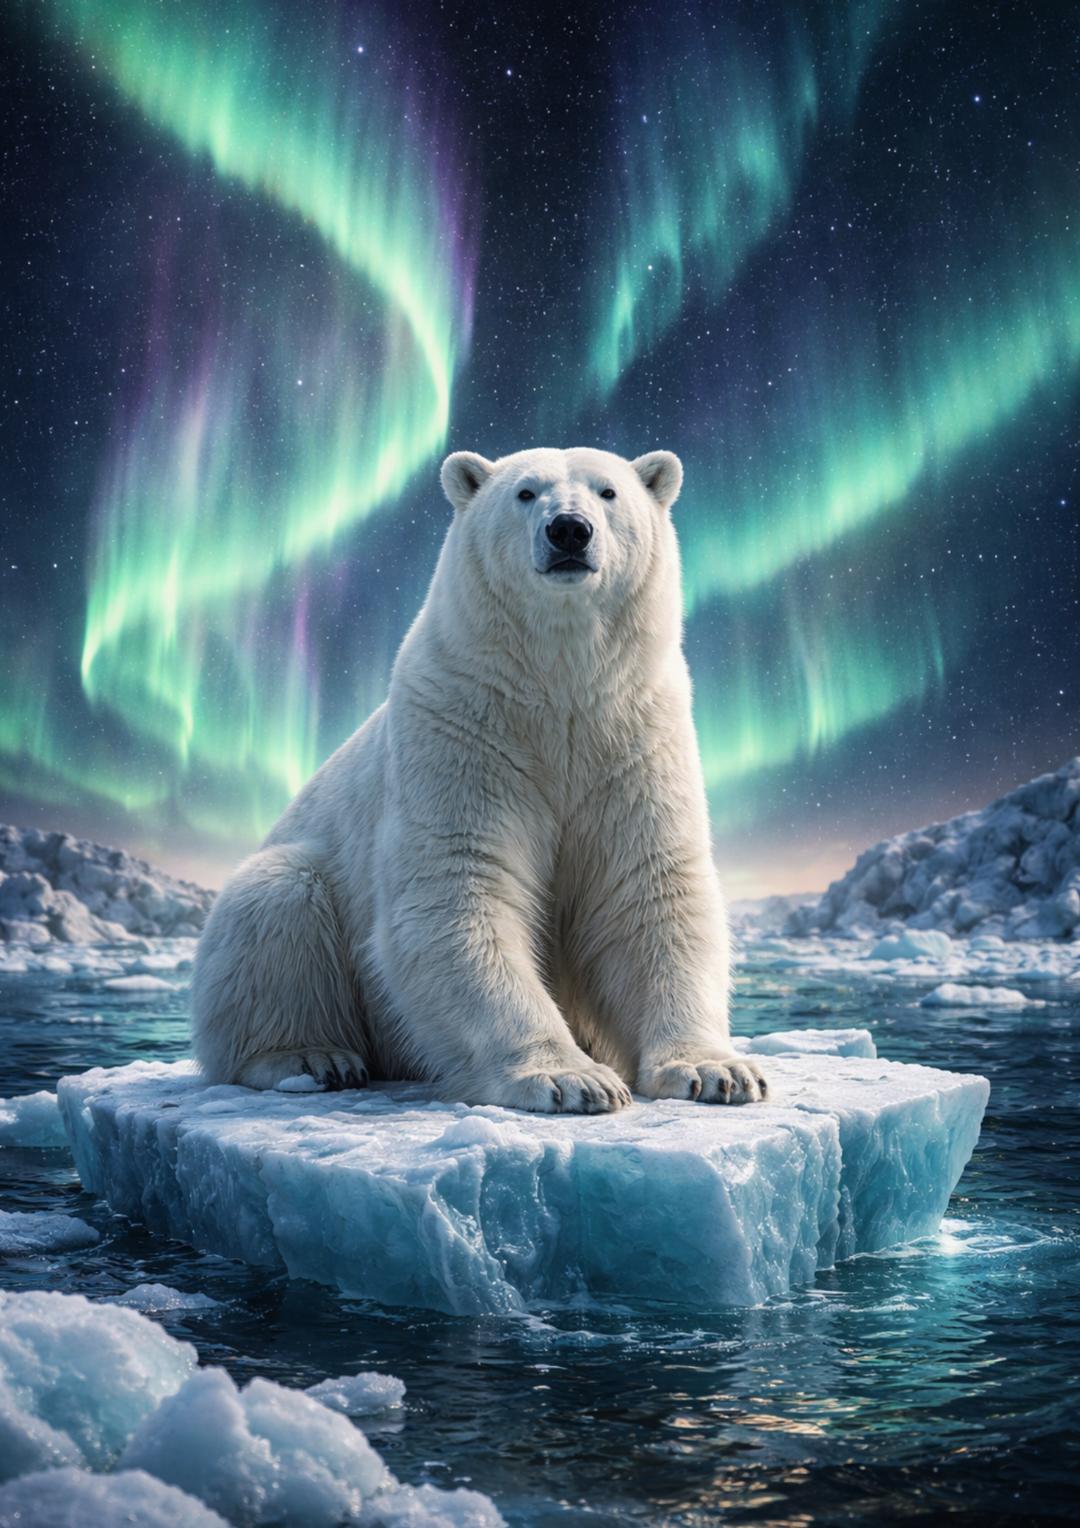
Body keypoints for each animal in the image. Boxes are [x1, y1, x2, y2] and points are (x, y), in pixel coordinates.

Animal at [190, 447, 767, 1112]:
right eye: (525, 492)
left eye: (608, 491)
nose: (569, 530)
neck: (559, 686)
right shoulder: (460, 727)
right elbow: (459, 888)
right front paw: (572, 1079)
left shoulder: (635, 736)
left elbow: (650, 888)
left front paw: (718, 1072)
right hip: (299, 879)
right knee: (277, 902)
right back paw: (311, 1058)